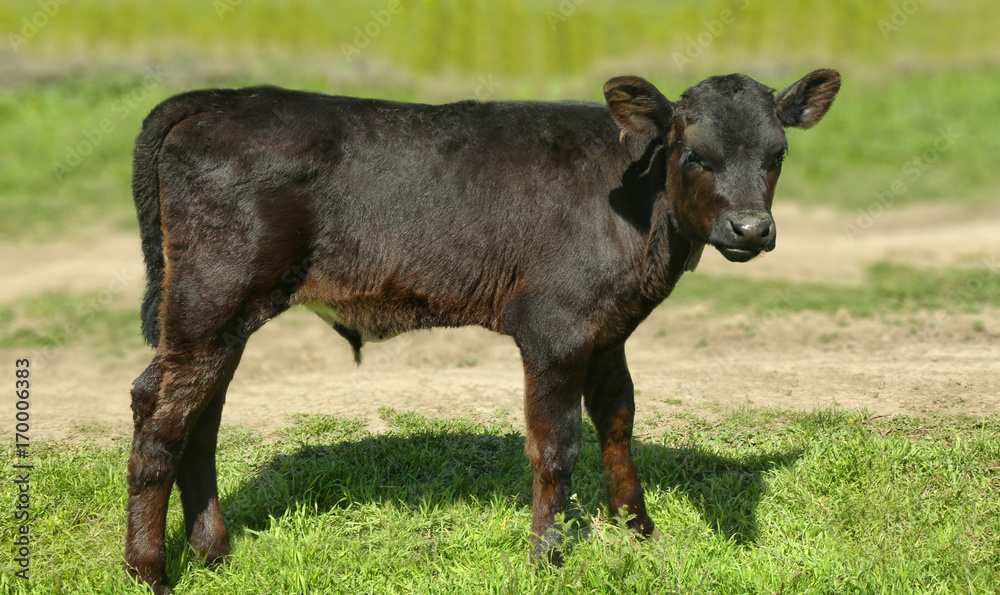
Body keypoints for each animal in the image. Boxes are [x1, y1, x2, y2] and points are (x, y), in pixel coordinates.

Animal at [125, 69, 840, 593]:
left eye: (776, 155)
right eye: (696, 155)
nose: (751, 228)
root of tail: (223, 98)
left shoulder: (608, 329)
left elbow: (618, 423)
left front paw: (640, 532)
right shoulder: (554, 327)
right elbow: (555, 446)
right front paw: (547, 560)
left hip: (221, 317)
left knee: (200, 420)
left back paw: (214, 555)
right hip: (211, 300)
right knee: (159, 417)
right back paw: (150, 572)